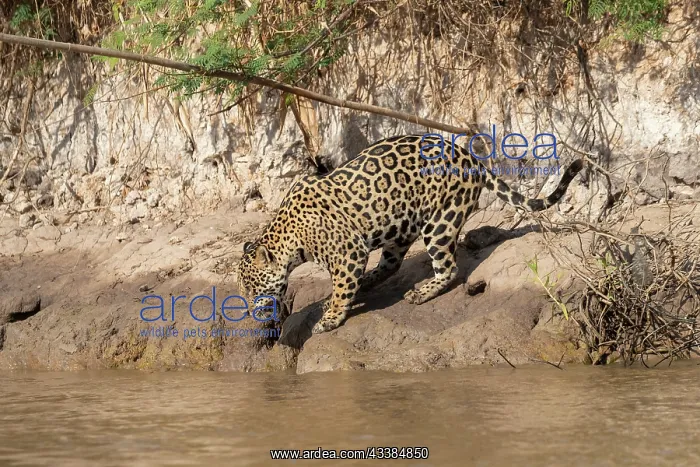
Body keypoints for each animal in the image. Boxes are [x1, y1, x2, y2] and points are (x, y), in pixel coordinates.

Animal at [236, 134, 584, 334]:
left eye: (253, 288)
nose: (250, 312)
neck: (289, 237)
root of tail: (471, 157)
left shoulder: (349, 253)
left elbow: (343, 287)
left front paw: (331, 319)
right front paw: (333, 303)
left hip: (440, 221)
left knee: (449, 267)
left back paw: (421, 292)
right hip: (400, 226)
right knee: (391, 265)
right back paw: (371, 281)